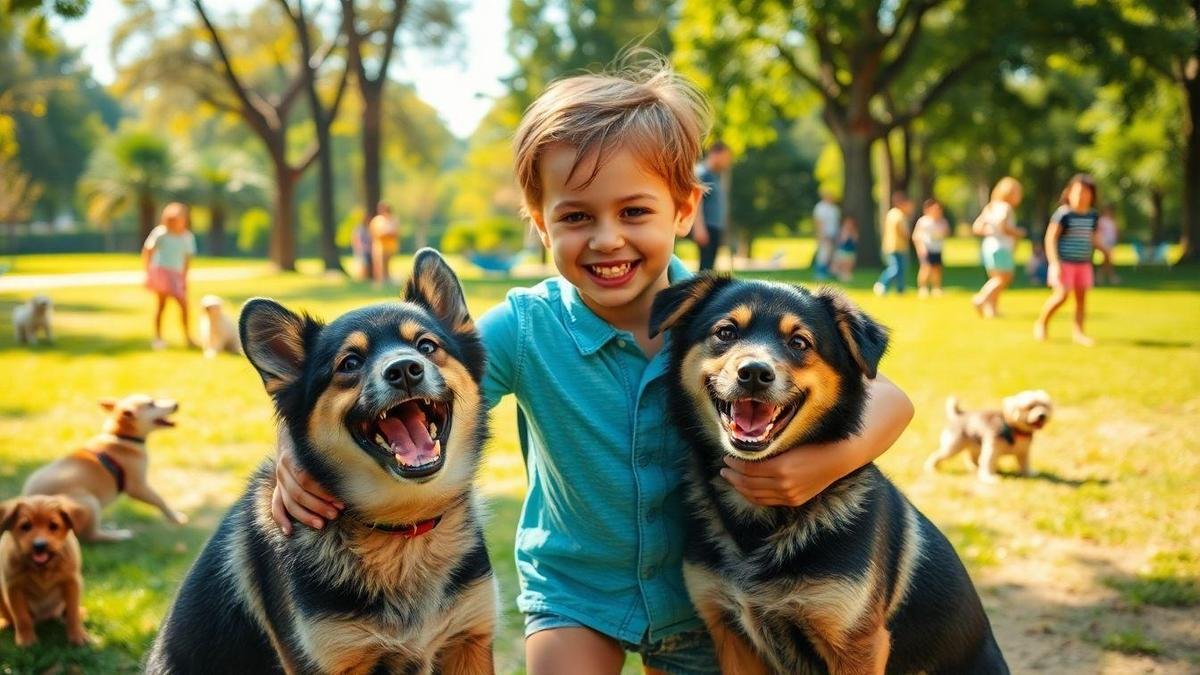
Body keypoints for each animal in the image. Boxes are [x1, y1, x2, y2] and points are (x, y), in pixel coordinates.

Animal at [0, 494, 90, 648]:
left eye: (53, 526)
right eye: (25, 526)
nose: (39, 545)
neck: (43, 568)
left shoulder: (72, 582)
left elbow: (72, 613)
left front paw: (77, 635)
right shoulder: (13, 586)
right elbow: (22, 618)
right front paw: (26, 640)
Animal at [22, 391, 187, 538]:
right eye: (151, 404)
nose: (176, 404)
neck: (121, 438)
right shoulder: (138, 487)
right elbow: (160, 501)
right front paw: (176, 518)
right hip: (89, 502)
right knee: (92, 536)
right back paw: (119, 535)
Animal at [652, 275, 1008, 672]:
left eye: (798, 342)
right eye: (726, 332)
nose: (755, 373)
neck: (761, 522)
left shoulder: (857, 645)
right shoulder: (728, 632)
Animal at [921, 386, 1056, 480]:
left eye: (1044, 405)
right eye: (1030, 407)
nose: (1042, 415)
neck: (1015, 430)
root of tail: (959, 414)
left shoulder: (1024, 452)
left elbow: (1025, 464)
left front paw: (1029, 473)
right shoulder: (992, 450)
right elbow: (988, 463)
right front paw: (989, 478)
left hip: (974, 446)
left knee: (971, 458)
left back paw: (975, 467)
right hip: (953, 446)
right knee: (937, 455)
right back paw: (931, 467)